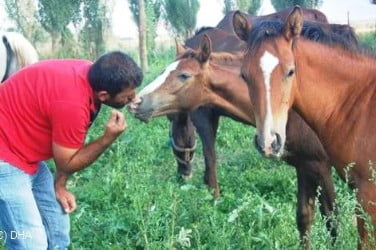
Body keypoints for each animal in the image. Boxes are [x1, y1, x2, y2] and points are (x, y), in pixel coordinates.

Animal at [131, 35, 338, 248]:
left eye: (184, 75)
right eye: (163, 71)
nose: (136, 102)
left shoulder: (321, 166)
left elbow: (332, 220)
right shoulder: (304, 165)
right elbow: (304, 218)